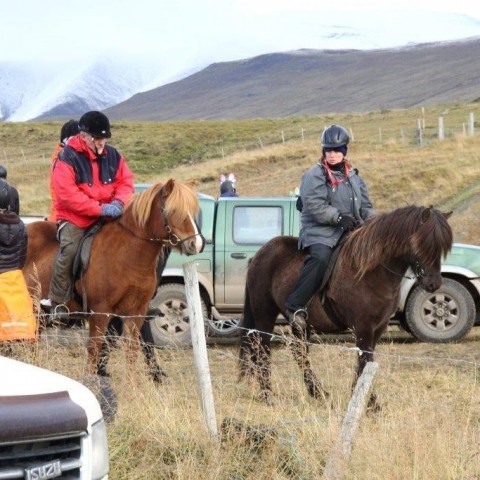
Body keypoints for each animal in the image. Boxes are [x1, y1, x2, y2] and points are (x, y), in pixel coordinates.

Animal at [23, 180, 203, 378]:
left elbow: (132, 350)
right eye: (173, 210)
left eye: (193, 211)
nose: (197, 244)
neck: (128, 257)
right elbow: (95, 350)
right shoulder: (101, 313)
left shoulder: (136, 312)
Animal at [240, 204, 454, 404]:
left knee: (299, 352)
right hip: (265, 313)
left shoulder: (378, 327)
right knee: (262, 348)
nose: (434, 284)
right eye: (422, 244)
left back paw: (317, 392)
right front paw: (369, 402)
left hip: (301, 324)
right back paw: (267, 394)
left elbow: (366, 361)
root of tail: (260, 253)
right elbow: (364, 359)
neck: (371, 272)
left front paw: (361, 396)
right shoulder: (363, 326)